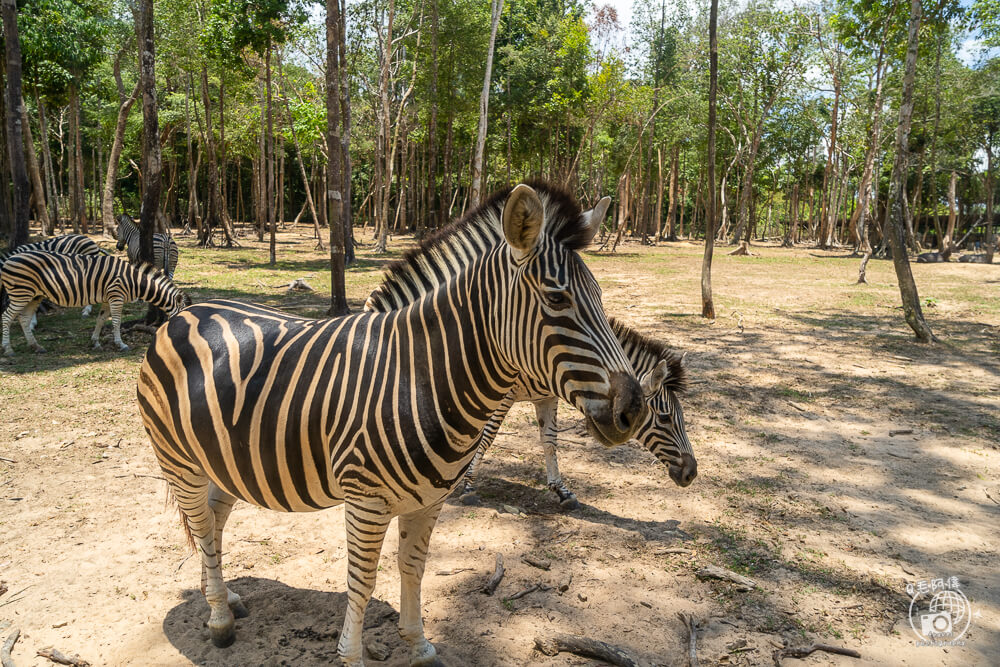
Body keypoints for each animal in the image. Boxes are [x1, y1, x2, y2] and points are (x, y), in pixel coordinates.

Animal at [1, 250, 191, 354]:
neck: (135, 281)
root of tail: (10, 259)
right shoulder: (116, 296)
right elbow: (116, 322)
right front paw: (121, 344)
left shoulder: (108, 299)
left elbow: (101, 320)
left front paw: (95, 342)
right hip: (20, 293)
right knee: (6, 317)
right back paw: (8, 349)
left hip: (34, 296)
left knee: (23, 319)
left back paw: (36, 346)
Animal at [137, 183, 644, 667]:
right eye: (557, 299)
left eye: (601, 298)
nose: (633, 409)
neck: (417, 376)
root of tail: (185, 312)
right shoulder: (366, 501)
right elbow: (362, 582)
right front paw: (352, 656)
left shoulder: (430, 501)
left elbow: (413, 568)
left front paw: (419, 645)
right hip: (180, 461)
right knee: (202, 527)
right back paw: (219, 619)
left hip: (224, 459)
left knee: (214, 522)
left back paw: (226, 598)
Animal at [458, 320, 696, 508]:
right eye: (665, 418)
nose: (692, 473)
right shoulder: (502, 395)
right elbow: (486, 437)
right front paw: (468, 485)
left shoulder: (546, 398)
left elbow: (550, 441)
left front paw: (561, 491)